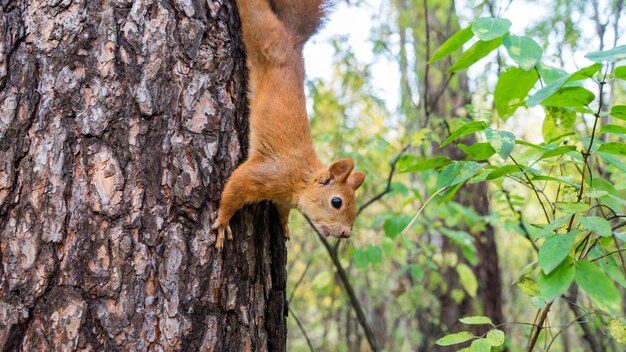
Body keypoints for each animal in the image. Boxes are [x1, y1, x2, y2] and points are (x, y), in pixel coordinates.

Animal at [212, 0, 364, 250]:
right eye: (336, 202)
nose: (346, 233)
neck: (301, 180)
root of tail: (292, 41)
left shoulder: (283, 200)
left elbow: (282, 210)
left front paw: (284, 225)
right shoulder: (269, 173)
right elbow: (235, 186)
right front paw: (223, 221)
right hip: (263, 32)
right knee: (254, 12)